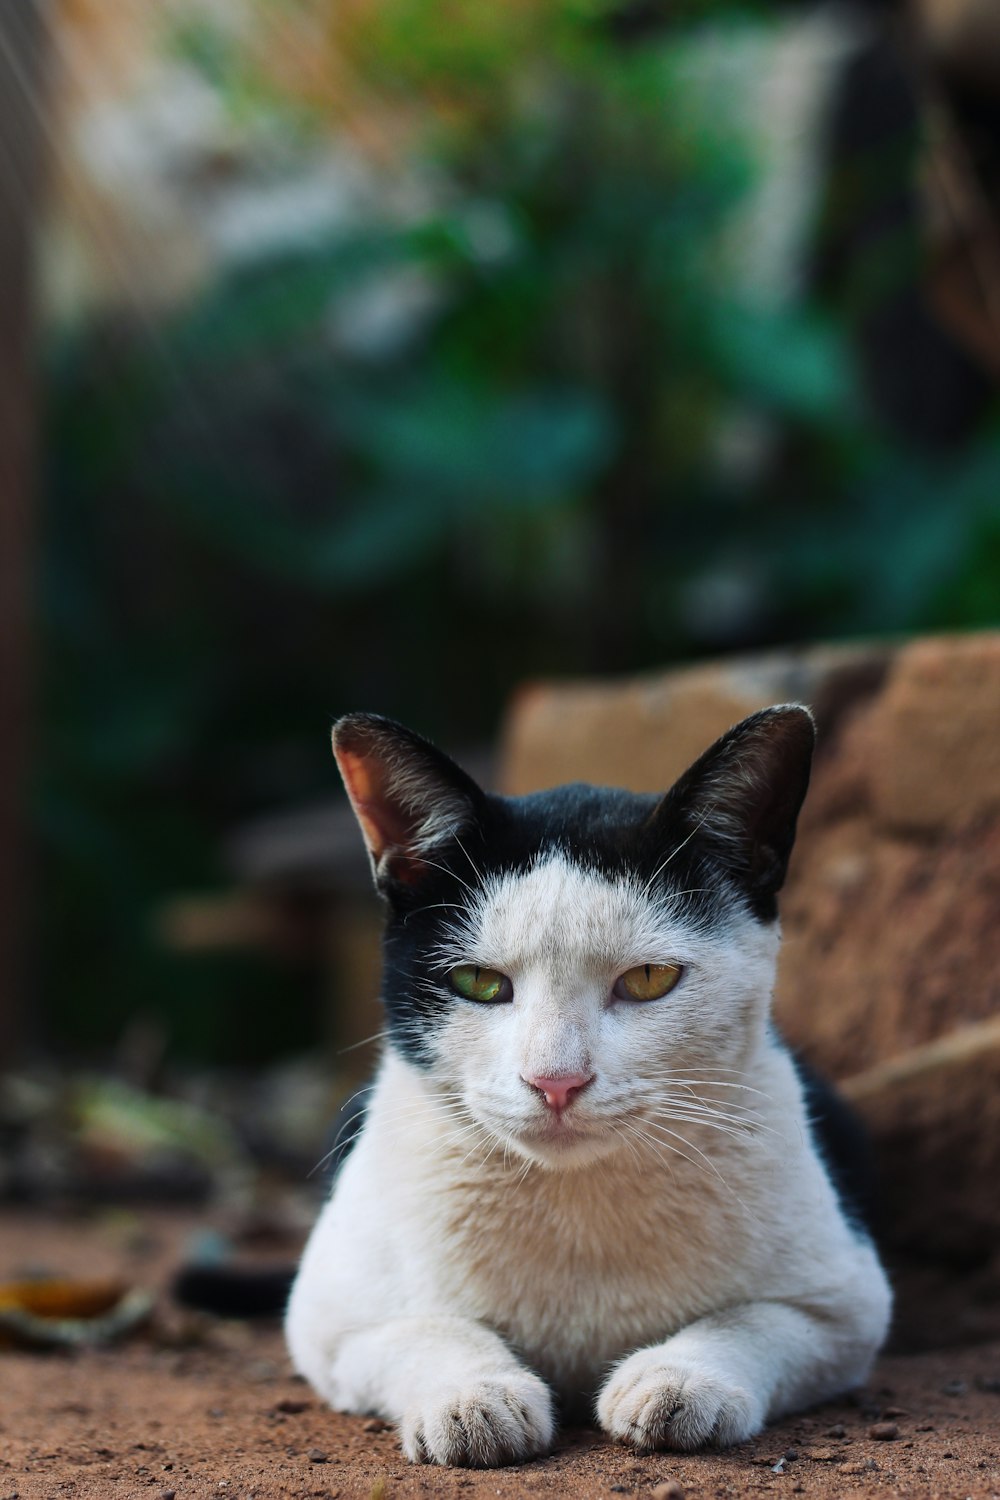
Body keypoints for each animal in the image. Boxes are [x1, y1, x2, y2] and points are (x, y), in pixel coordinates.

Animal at [287, 708, 893, 1470]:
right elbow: (423, 1330)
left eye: (648, 980)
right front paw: (475, 1395)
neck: (574, 1202)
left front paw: (677, 1379)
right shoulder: (327, 1318)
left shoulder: (847, 1306)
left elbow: (753, 1321)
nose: (556, 1080)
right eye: (479, 983)